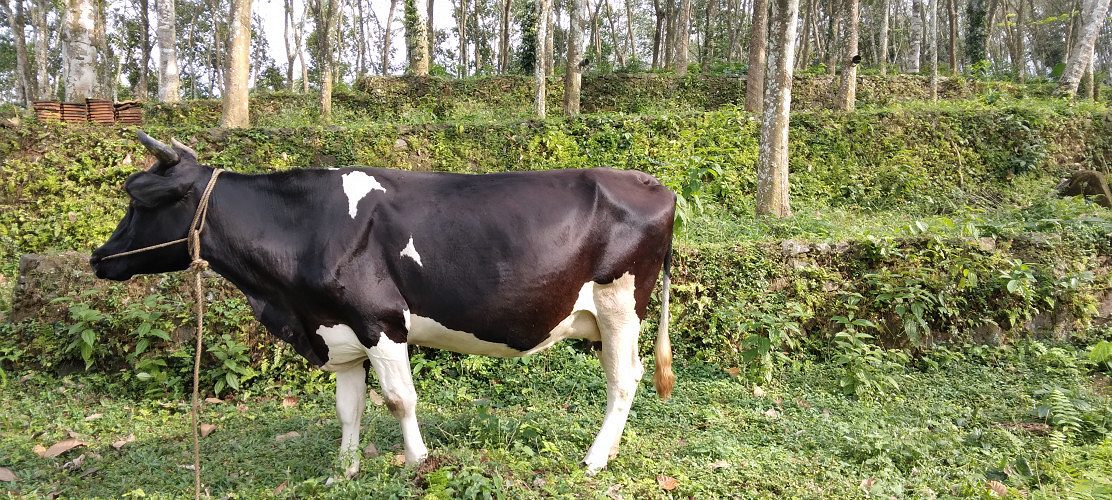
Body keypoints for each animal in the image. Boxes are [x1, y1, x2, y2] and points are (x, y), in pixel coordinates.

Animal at [90, 132, 677, 477]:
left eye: (139, 198)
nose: (99, 257)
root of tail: (652, 182)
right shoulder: (338, 329)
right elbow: (348, 407)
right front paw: (344, 471)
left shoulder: (380, 321)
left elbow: (399, 399)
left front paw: (416, 463)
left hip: (620, 302)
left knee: (623, 379)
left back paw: (595, 458)